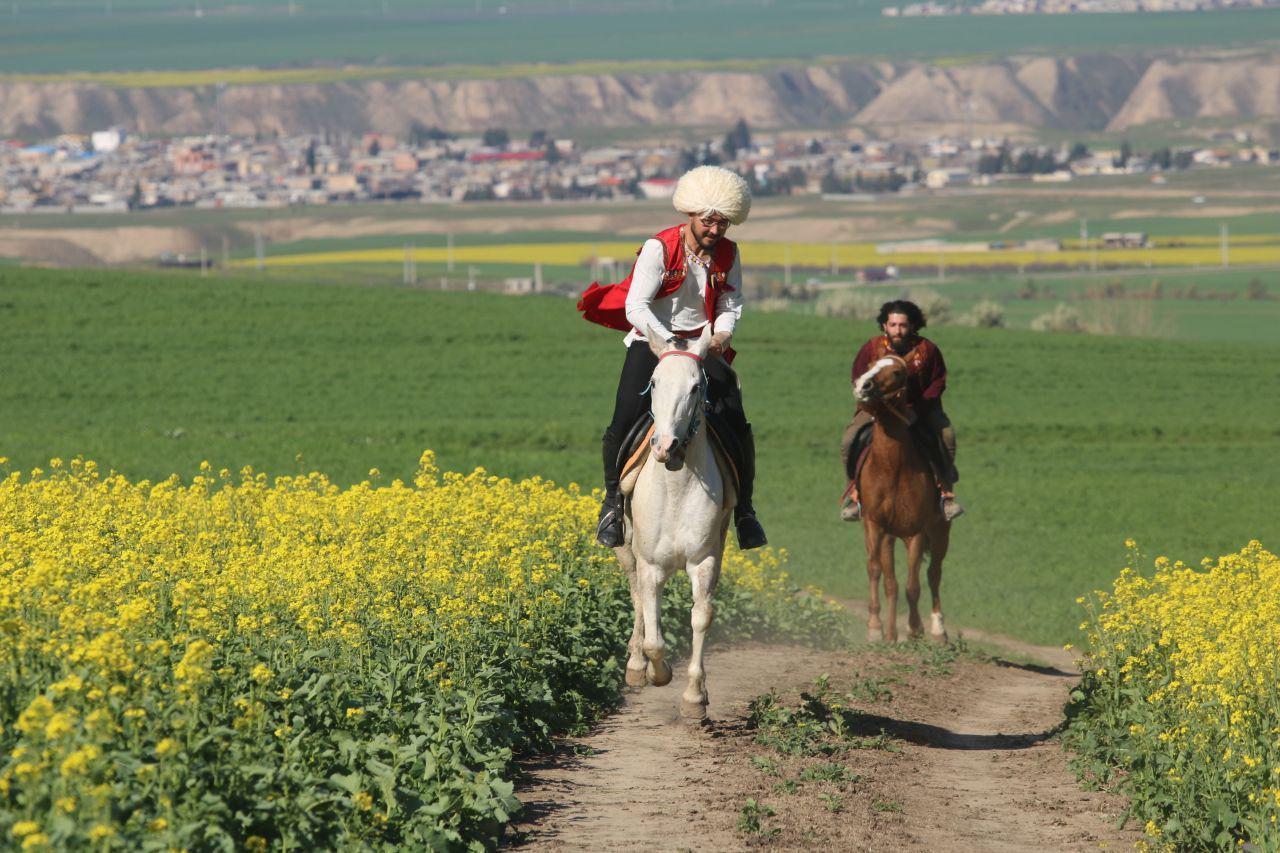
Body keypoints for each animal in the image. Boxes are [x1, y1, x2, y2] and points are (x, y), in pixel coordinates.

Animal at [614, 325, 737, 717]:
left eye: (696, 387)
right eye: (653, 383)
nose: (664, 445)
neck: (677, 483)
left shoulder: (705, 559)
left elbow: (701, 616)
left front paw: (695, 697)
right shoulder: (651, 563)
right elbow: (654, 635)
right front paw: (658, 672)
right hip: (626, 546)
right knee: (637, 595)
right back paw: (636, 667)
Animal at [849, 350, 952, 637]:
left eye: (897, 373)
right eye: (870, 365)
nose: (863, 386)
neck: (891, 467)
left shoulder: (915, 531)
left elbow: (913, 585)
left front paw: (914, 629)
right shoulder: (875, 525)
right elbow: (879, 574)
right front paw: (877, 629)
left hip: (939, 532)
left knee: (934, 573)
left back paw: (938, 628)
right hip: (889, 536)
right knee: (892, 581)